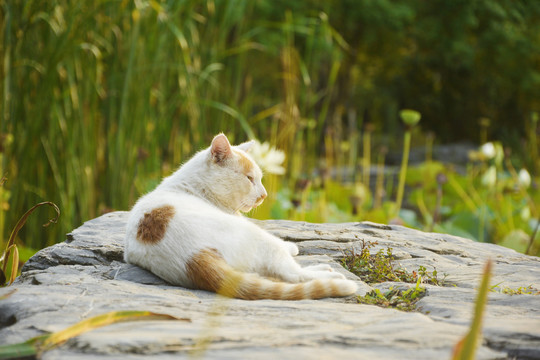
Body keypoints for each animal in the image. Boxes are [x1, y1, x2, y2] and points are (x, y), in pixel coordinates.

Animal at [124, 134, 356, 300]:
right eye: (250, 178)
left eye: (260, 179)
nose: (264, 195)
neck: (193, 185)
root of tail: (193, 256)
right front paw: (292, 245)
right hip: (260, 240)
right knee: (293, 274)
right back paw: (328, 272)